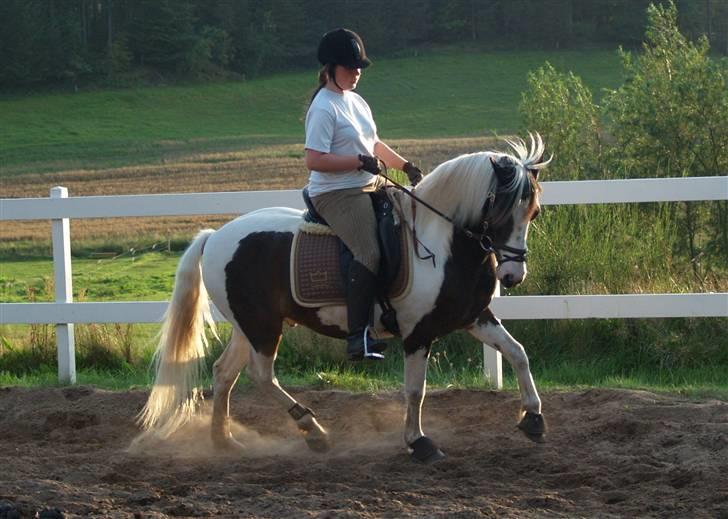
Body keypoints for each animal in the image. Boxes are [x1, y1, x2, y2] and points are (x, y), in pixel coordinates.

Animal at [139, 134, 552, 464]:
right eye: (501, 209)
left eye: (533, 212)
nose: (512, 276)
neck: (441, 243)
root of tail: (215, 236)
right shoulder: (418, 333)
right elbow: (415, 390)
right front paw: (419, 442)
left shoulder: (474, 316)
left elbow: (517, 353)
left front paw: (533, 418)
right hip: (261, 327)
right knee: (261, 374)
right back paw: (314, 431)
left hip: (248, 326)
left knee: (225, 373)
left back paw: (224, 441)